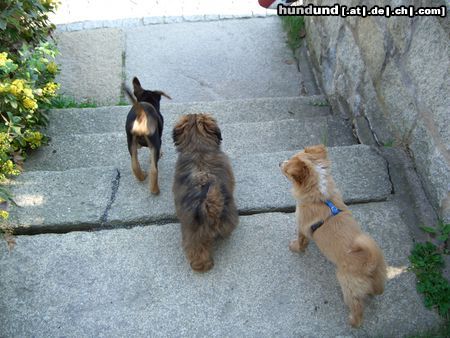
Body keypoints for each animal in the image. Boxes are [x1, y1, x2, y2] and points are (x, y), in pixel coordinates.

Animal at [280, 144, 384, 326]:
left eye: (287, 169)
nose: (279, 163)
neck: (321, 197)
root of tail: (369, 262)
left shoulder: (301, 226)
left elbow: (300, 240)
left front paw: (295, 247)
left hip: (347, 285)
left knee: (357, 309)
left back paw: (352, 322)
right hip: (379, 278)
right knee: (376, 291)